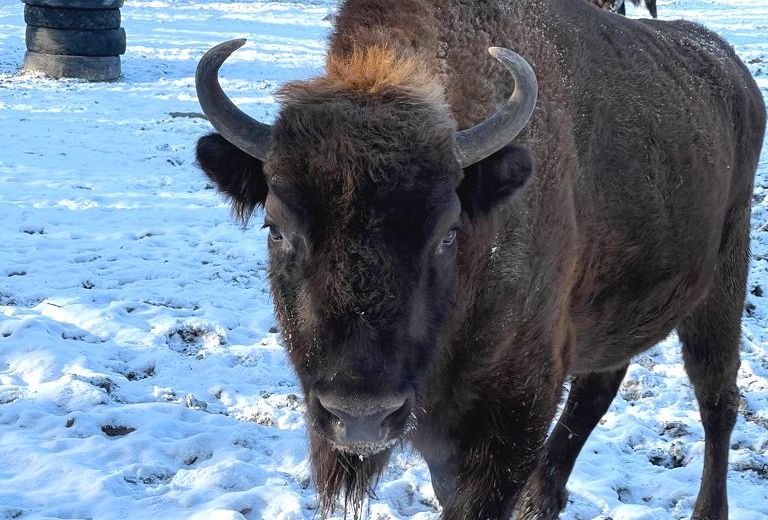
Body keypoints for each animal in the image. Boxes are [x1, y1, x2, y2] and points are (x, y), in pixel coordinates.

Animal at [195, 1, 764, 520]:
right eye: (275, 229)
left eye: (448, 232)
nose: (360, 417)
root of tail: (735, 73)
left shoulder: (512, 412)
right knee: (600, 386)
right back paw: (543, 499)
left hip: (722, 284)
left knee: (717, 398)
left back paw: (705, 510)